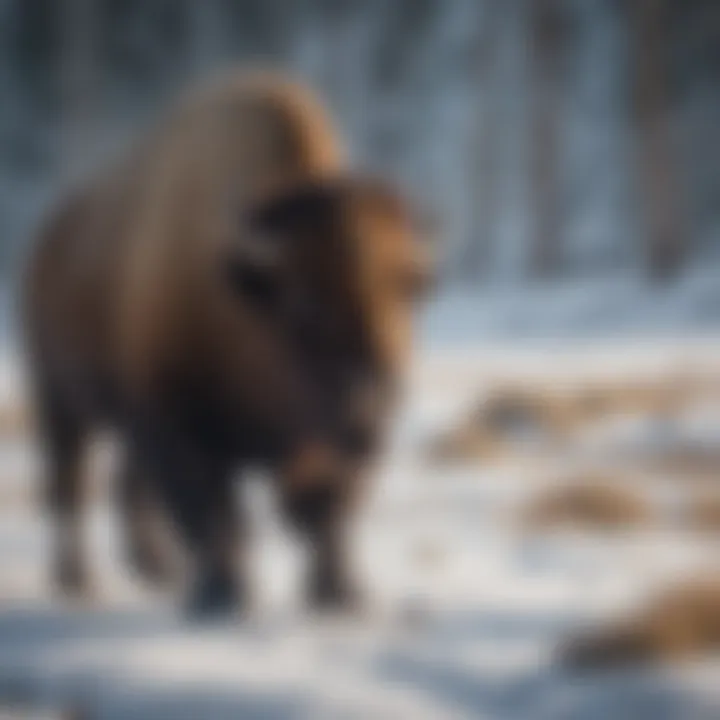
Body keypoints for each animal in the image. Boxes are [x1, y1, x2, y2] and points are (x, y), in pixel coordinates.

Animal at [23, 73, 434, 616]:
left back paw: (158, 568)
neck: (241, 292)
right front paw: (223, 594)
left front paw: (340, 592)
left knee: (128, 484)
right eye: (303, 304)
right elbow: (213, 511)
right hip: (58, 397)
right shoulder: (177, 422)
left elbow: (326, 509)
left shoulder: (321, 448)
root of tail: (48, 238)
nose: (371, 407)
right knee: (68, 484)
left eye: (408, 289)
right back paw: (78, 579)